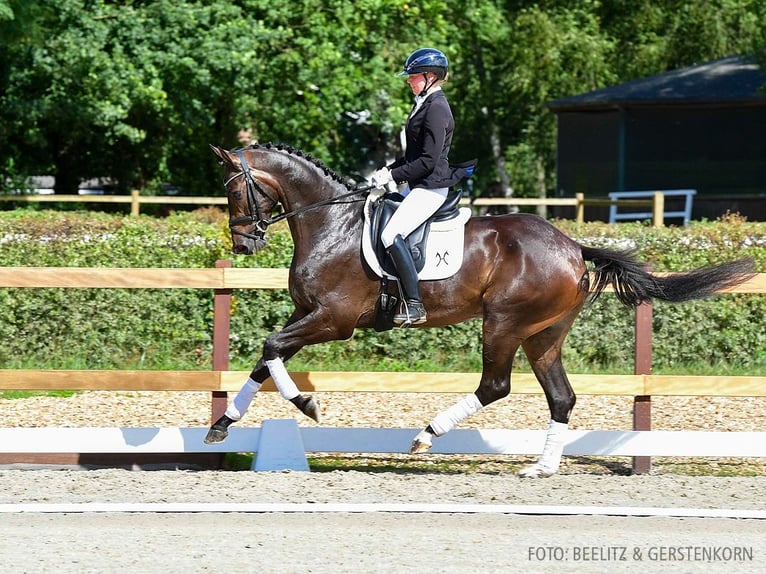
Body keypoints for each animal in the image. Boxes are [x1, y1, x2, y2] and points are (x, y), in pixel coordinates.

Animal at [204, 142, 756, 480]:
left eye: (234, 189)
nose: (244, 243)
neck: (331, 226)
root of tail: (573, 247)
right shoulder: (307, 314)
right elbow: (266, 358)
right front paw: (223, 424)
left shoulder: (334, 321)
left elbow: (272, 348)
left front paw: (306, 404)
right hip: (543, 334)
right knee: (561, 396)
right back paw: (541, 467)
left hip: (504, 323)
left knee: (496, 385)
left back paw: (426, 437)